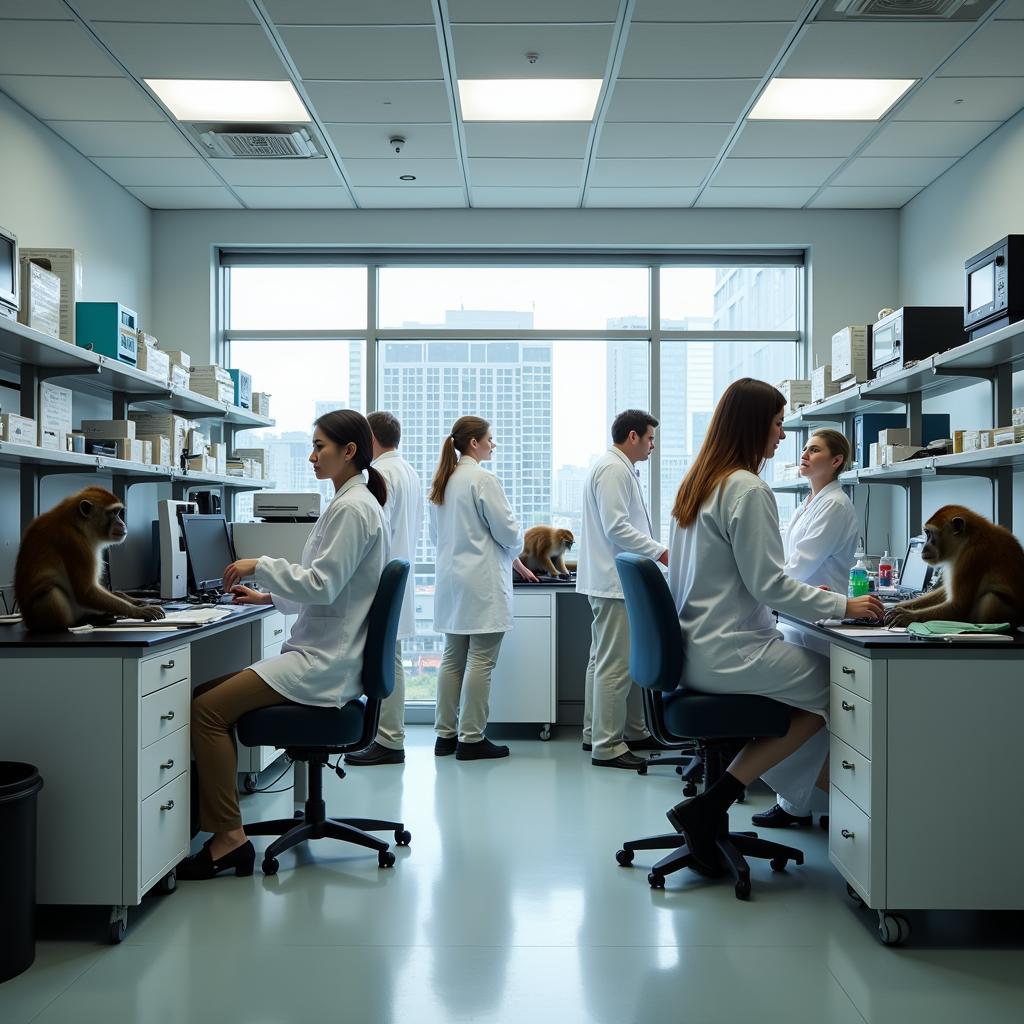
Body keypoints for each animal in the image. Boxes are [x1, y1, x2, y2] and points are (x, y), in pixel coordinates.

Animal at [14, 485, 166, 630]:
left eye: (118, 513)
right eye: (113, 513)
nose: (122, 523)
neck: (77, 525)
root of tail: (28, 621)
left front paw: (135, 600)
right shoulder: (74, 542)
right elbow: (86, 591)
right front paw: (137, 611)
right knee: (52, 593)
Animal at [880, 501, 1024, 626]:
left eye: (930, 534)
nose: (924, 547)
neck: (969, 539)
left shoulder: (973, 556)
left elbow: (958, 606)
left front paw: (907, 616)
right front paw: (894, 606)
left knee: (991, 599)